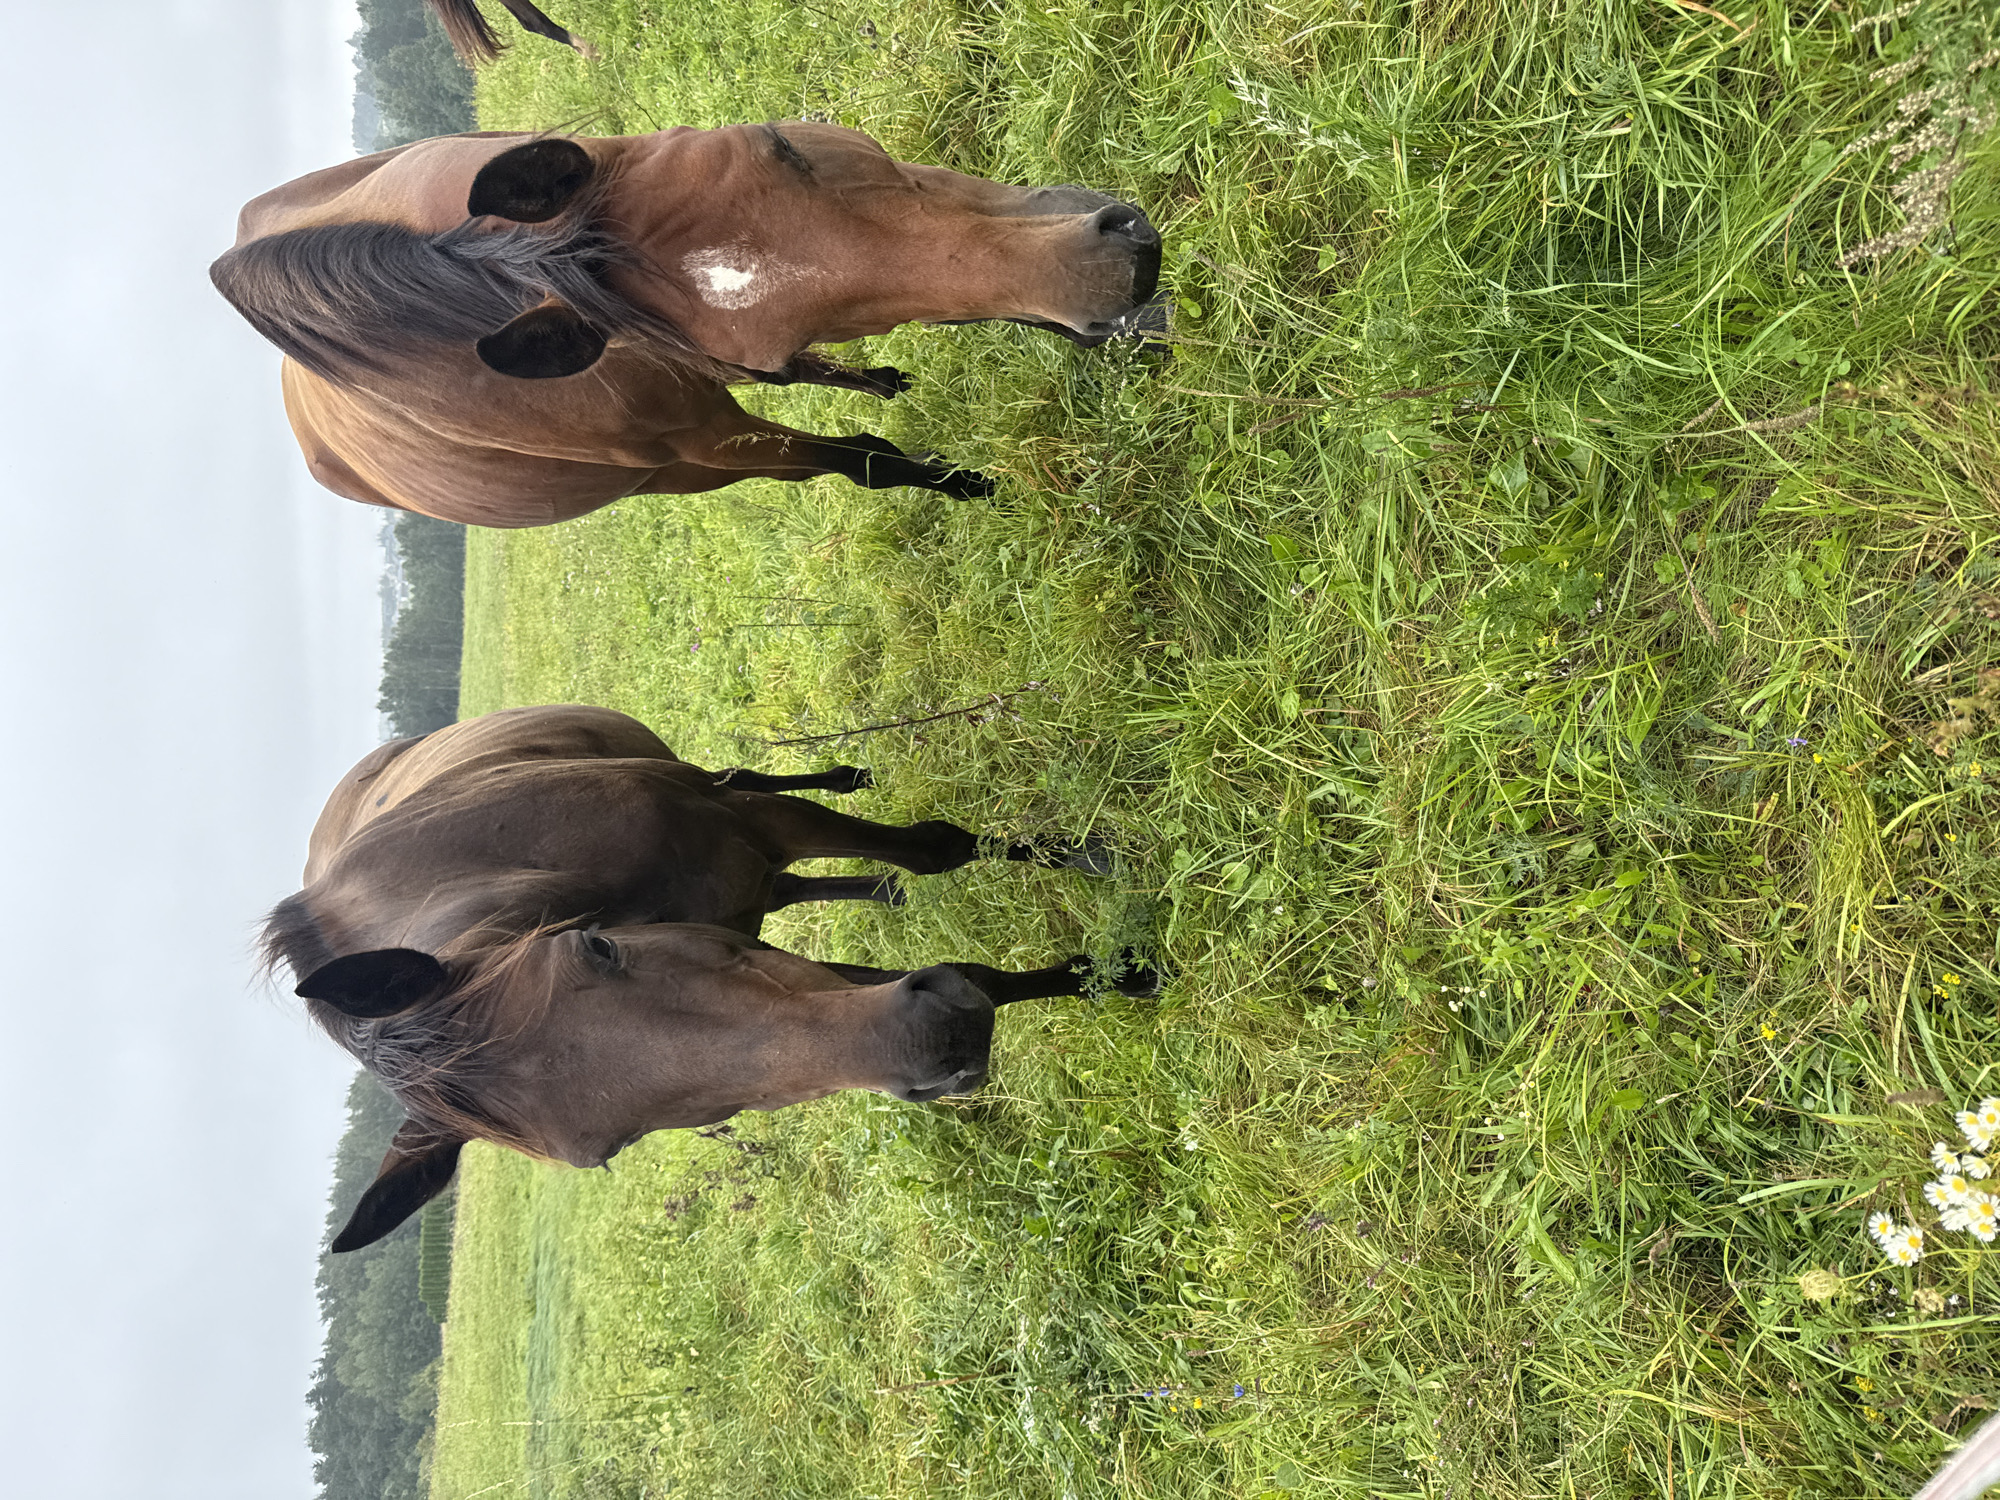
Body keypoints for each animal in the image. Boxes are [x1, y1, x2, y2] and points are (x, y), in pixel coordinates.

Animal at [211, 125, 1161, 527]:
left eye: (787, 148)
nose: (1112, 273)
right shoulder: (719, 433)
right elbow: (865, 462)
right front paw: (966, 485)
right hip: (680, 473)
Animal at [262, 705, 1105, 988]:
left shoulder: (743, 820)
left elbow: (936, 848)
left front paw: (1089, 854)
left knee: (737, 779)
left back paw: (849, 778)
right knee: (780, 881)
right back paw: (875, 888)